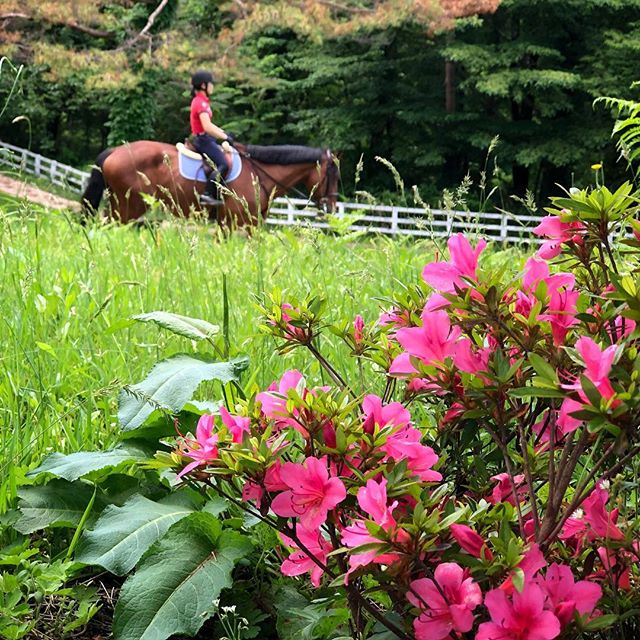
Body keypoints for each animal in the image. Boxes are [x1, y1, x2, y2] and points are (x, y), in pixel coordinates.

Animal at [80, 141, 340, 228]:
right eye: (333, 176)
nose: (331, 209)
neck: (259, 173)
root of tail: (115, 151)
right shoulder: (235, 223)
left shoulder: (248, 226)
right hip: (128, 208)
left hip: (118, 206)